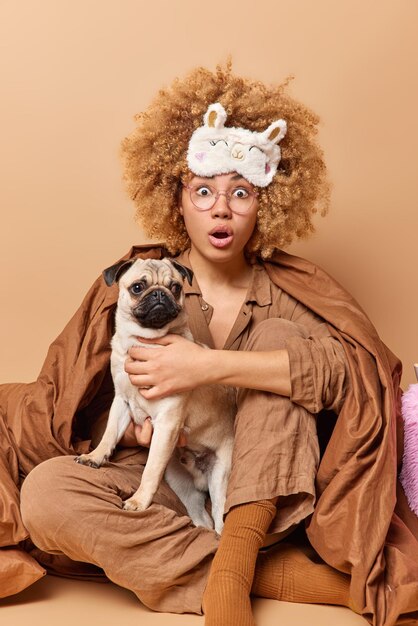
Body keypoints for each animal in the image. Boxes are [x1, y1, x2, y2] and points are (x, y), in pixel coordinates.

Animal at [75, 255, 235, 532]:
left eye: (176, 287)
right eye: (138, 287)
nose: (160, 294)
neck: (145, 342)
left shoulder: (167, 422)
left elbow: (149, 471)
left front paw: (138, 501)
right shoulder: (121, 402)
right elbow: (109, 434)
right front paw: (95, 457)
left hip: (220, 477)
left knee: (218, 516)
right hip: (181, 483)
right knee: (200, 518)